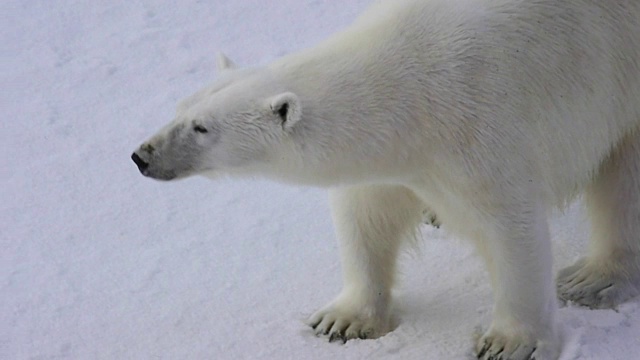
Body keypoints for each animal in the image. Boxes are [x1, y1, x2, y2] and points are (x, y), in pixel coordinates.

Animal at [131, 1, 640, 358]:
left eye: (202, 128)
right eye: (179, 108)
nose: (141, 156)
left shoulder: (482, 127)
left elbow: (511, 230)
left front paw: (508, 343)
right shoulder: (399, 160)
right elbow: (366, 215)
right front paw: (341, 321)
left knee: (622, 185)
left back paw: (593, 280)